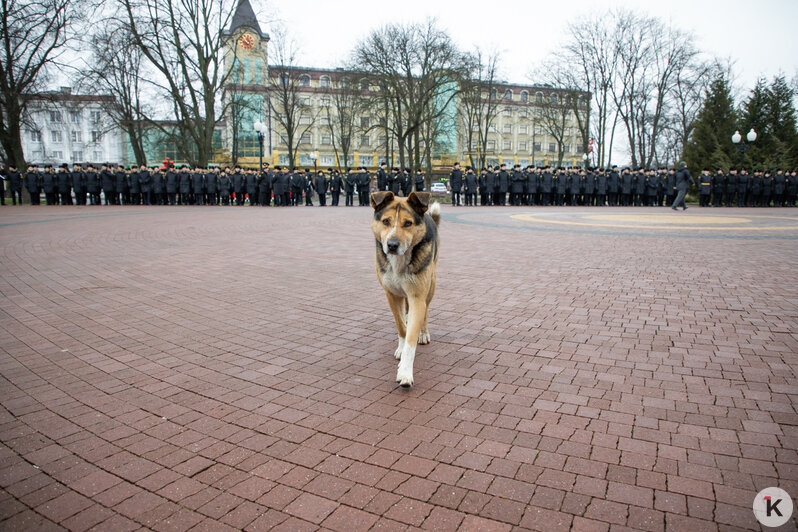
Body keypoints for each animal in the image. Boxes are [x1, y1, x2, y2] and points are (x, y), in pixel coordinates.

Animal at [370, 190, 440, 386]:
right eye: (386, 221)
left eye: (408, 223)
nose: (392, 245)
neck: (400, 261)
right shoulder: (391, 294)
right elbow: (401, 327)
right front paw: (401, 349)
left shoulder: (417, 296)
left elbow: (411, 338)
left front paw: (405, 373)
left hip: (431, 284)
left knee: (426, 311)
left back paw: (423, 333)